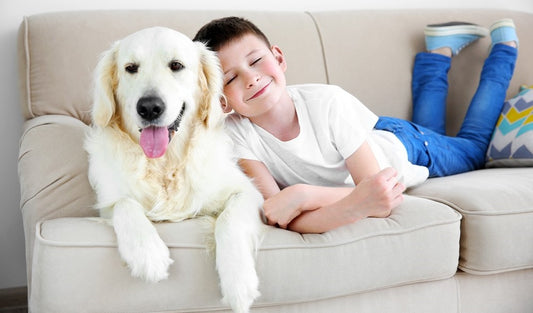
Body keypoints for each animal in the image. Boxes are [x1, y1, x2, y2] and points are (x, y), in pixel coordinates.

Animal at [84, 27, 262, 312]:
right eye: (130, 68)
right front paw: (147, 253)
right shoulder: (107, 204)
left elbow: (228, 219)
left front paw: (239, 282)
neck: (165, 163)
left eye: (176, 65)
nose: (149, 107)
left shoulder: (247, 192)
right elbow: (124, 204)